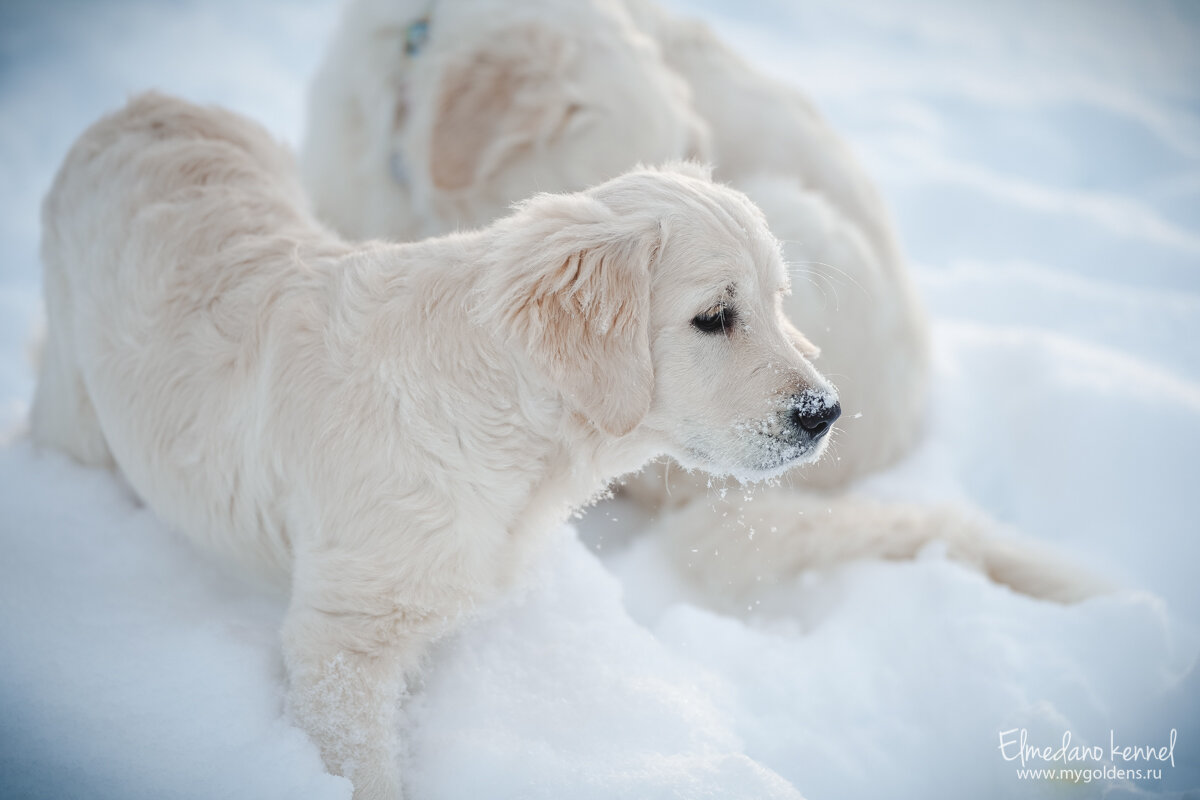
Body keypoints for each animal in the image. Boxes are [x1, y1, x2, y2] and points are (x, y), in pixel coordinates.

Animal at [35, 92, 844, 796]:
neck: (505, 420)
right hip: (74, 402)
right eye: (714, 317)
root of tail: (147, 103)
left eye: (777, 302)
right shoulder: (340, 640)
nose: (827, 412)